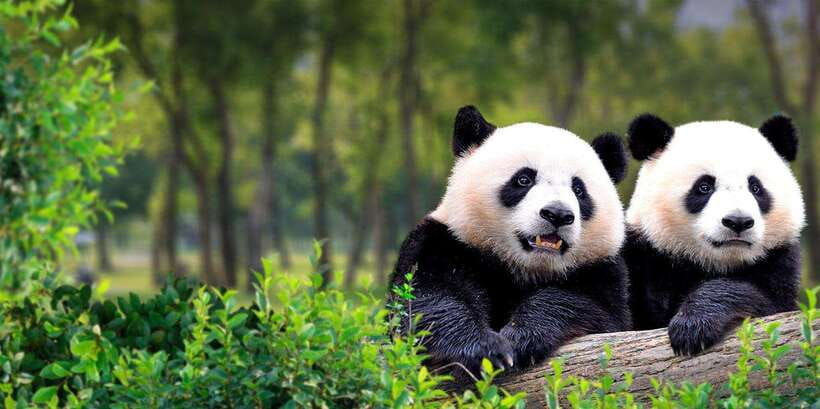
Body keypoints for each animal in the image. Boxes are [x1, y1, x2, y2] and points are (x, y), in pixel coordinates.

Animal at [390, 106, 631, 376]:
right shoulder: (448, 242)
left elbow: (591, 309)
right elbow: (426, 300)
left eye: (579, 190)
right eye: (524, 179)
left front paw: (520, 338)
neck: (524, 267)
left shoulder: (601, 271)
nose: (557, 214)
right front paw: (488, 350)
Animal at [623, 113, 805, 356]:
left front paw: (692, 326)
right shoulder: (644, 257)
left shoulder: (778, 264)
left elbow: (764, 300)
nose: (738, 221)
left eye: (755, 188)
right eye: (704, 186)